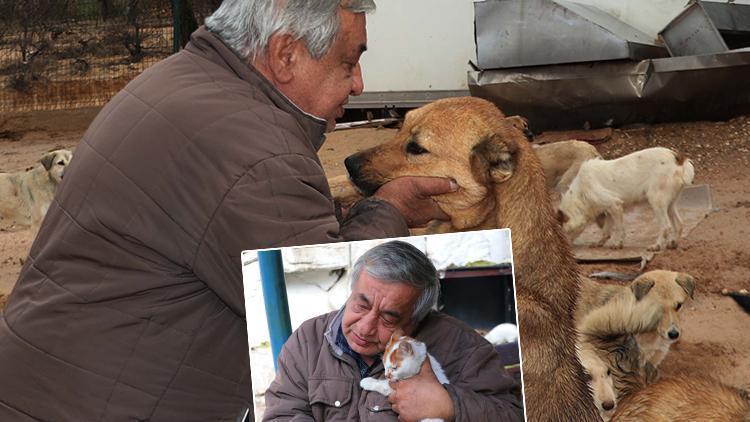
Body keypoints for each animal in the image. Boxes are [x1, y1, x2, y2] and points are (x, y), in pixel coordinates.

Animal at [560, 147, 696, 251]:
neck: (580, 193)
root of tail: (678, 158)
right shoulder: (609, 209)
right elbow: (606, 230)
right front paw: (600, 242)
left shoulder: (614, 205)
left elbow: (619, 228)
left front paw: (617, 244)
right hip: (669, 204)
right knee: (679, 224)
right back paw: (673, 243)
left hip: (656, 201)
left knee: (666, 226)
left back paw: (656, 246)